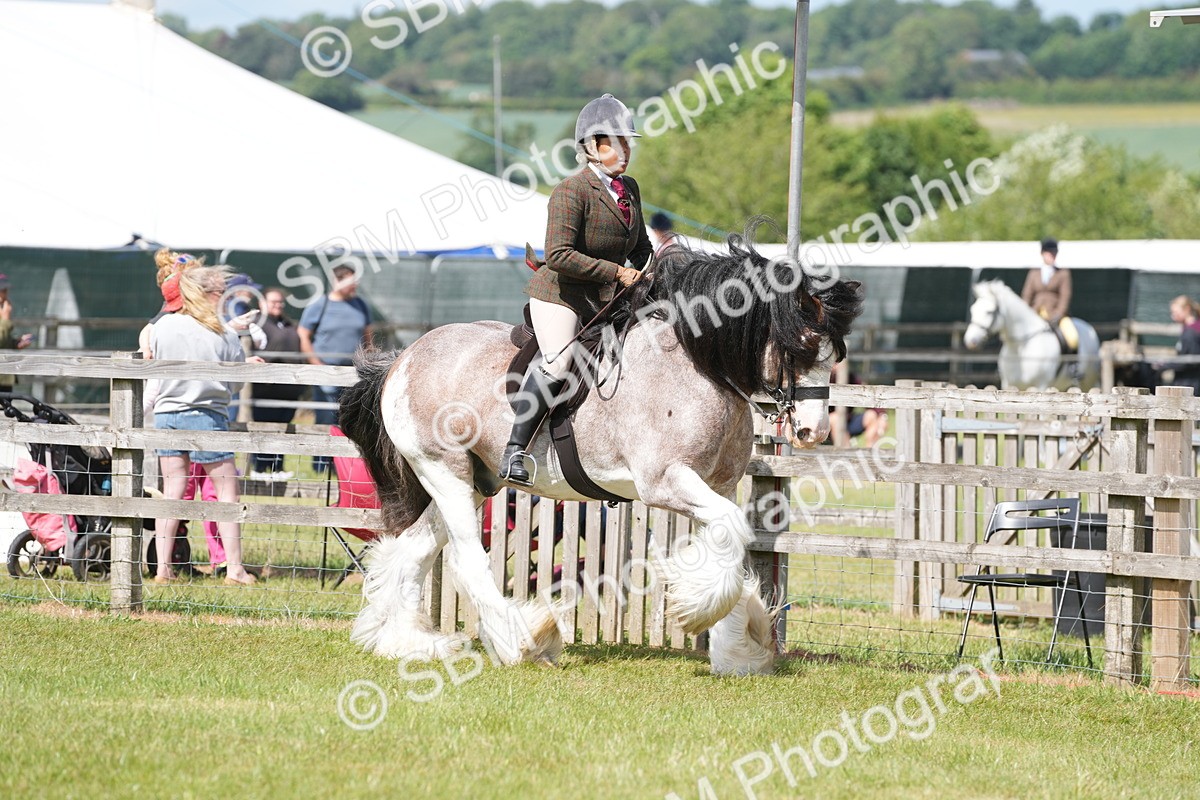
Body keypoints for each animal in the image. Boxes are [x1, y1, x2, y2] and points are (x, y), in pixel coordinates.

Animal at [337, 234, 863, 675]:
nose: (814, 431)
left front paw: (737, 650)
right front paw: (699, 612)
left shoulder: (715, 487)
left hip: (471, 483)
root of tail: (404, 358)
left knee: (412, 553)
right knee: (466, 559)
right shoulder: (666, 483)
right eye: (802, 347)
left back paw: (408, 643)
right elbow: (731, 532)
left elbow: (728, 543)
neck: (695, 366)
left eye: (834, 354)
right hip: (443, 471)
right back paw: (523, 642)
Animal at [963, 280, 1099, 391]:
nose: (970, 340)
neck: (1020, 349)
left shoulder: (1041, 385)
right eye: (972, 310)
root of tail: (1087, 326)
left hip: (1087, 382)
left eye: (989, 312)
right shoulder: (1008, 385)